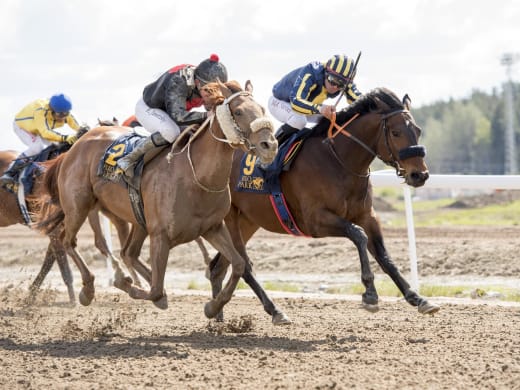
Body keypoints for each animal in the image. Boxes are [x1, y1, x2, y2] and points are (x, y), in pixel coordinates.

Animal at [206, 87, 438, 322]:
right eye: (396, 132)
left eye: (417, 130)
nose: (420, 175)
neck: (339, 161)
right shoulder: (315, 221)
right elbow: (358, 235)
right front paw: (370, 293)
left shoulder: (368, 216)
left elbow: (384, 255)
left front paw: (417, 298)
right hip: (231, 219)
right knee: (243, 265)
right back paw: (273, 310)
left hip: (248, 222)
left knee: (219, 267)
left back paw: (218, 316)